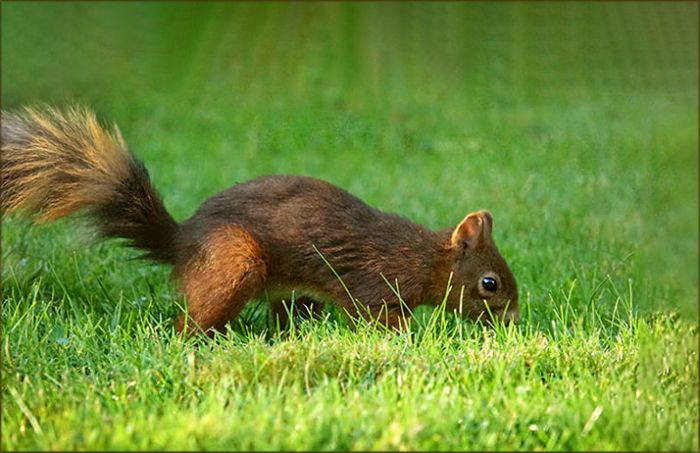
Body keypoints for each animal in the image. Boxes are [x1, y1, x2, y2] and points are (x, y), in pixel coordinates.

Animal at [1, 106, 519, 336]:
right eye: (489, 284)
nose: (512, 320)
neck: (422, 257)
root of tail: (182, 243)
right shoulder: (373, 285)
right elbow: (379, 318)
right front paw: (411, 338)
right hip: (235, 262)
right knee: (189, 322)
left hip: (289, 290)